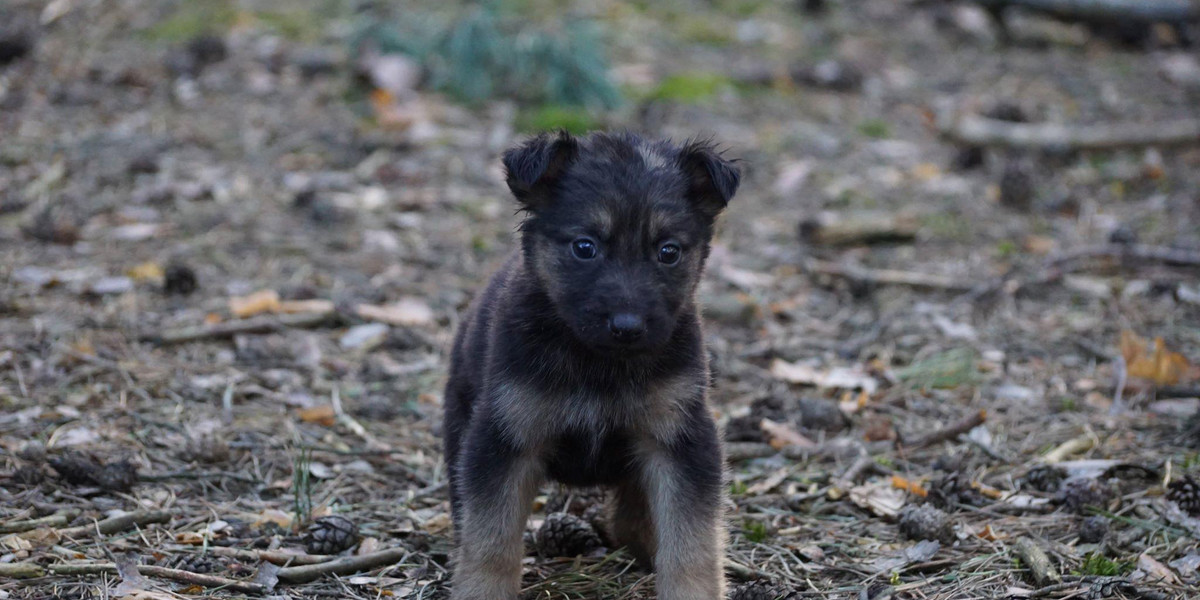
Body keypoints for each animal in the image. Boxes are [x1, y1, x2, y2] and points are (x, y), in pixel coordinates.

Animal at [444, 131, 739, 600]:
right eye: (585, 247)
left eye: (668, 252)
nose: (627, 327)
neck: (598, 364)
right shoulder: (505, 437)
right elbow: (491, 537)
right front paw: (481, 591)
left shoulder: (679, 439)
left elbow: (692, 541)